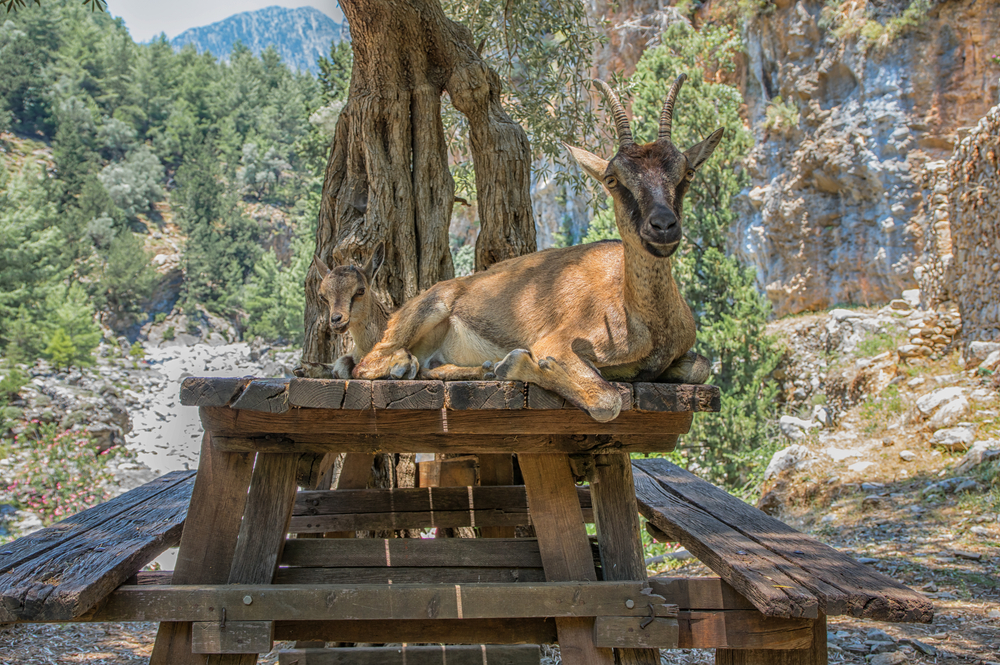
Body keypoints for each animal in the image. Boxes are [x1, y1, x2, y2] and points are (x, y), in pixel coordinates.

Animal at [354, 76, 717, 422]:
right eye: (613, 179)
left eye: (687, 172)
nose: (663, 225)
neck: (647, 321)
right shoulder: (559, 340)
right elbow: (607, 400)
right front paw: (517, 364)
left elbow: (701, 366)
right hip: (428, 308)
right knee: (367, 363)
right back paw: (408, 364)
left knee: (429, 365)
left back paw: (478, 369)